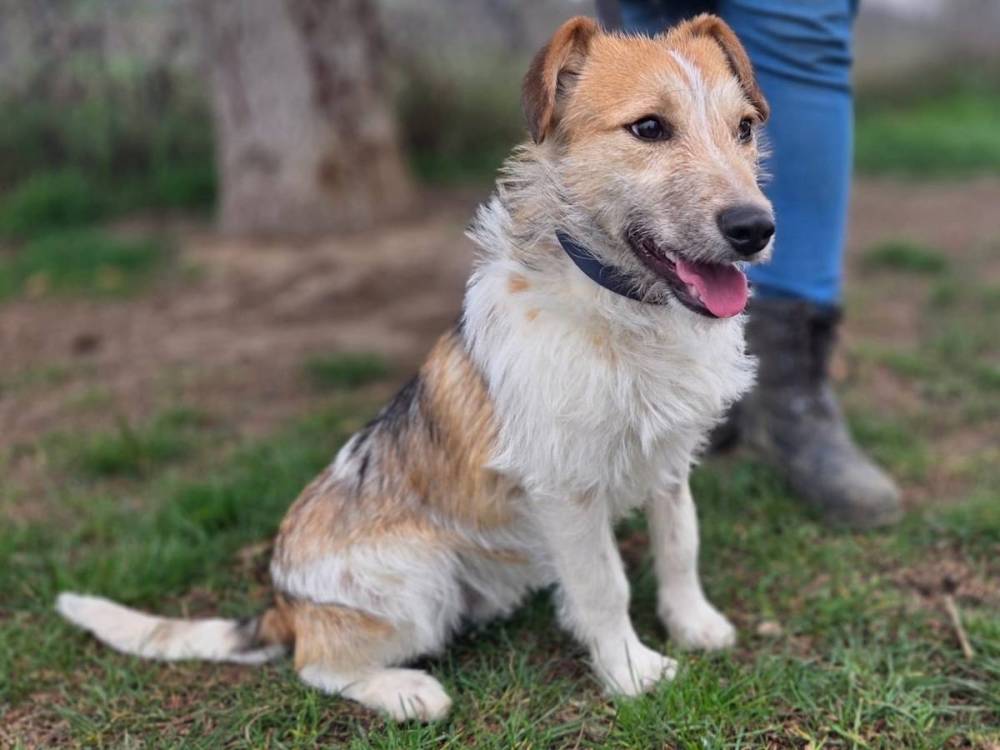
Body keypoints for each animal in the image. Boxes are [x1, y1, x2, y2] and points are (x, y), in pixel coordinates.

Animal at [57, 14, 774, 722]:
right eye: (649, 128)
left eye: (744, 128)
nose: (755, 229)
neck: (625, 309)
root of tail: (285, 604)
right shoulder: (566, 488)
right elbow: (605, 586)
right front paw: (631, 673)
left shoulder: (669, 459)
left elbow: (680, 544)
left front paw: (694, 625)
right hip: (418, 578)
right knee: (315, 662)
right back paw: (407, 693)